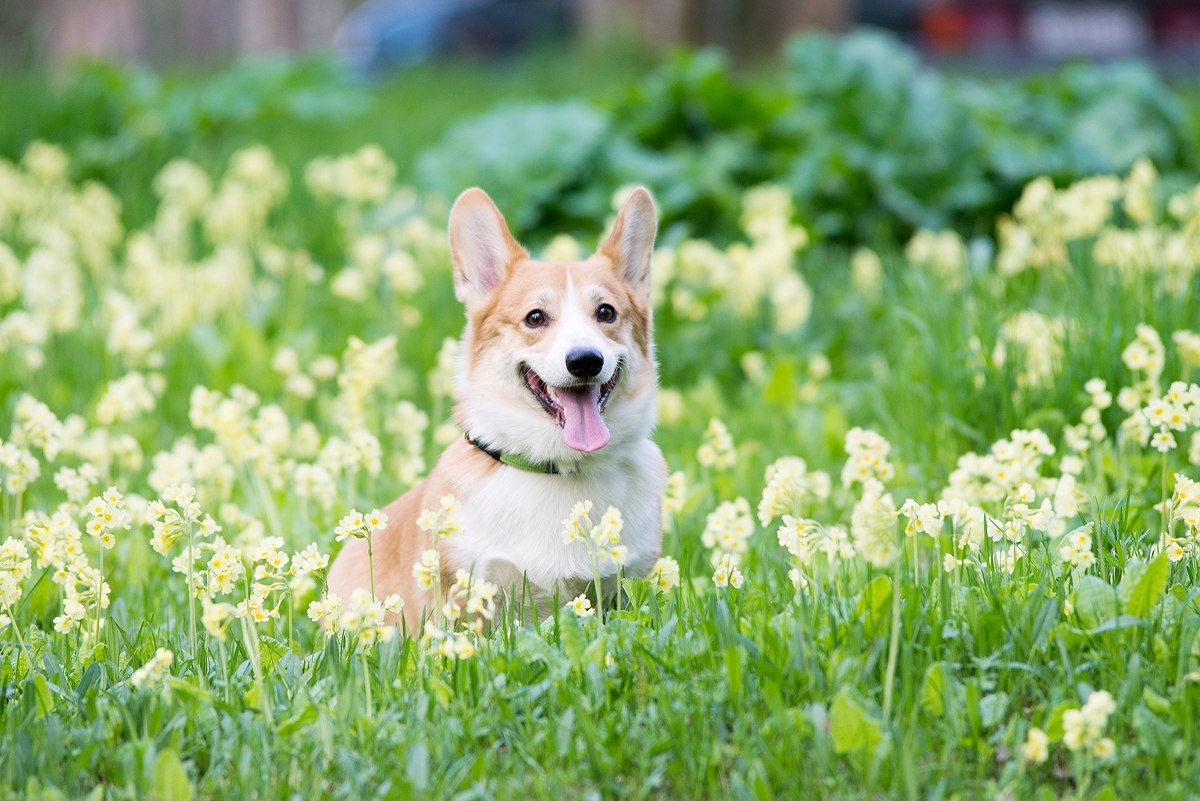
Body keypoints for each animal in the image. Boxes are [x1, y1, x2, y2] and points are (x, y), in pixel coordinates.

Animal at [328, 185, 667, 623]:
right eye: (535, 318)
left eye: (606, 312)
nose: (585, 361)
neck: (561, 469)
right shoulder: (468, 595)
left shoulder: (623, 588)